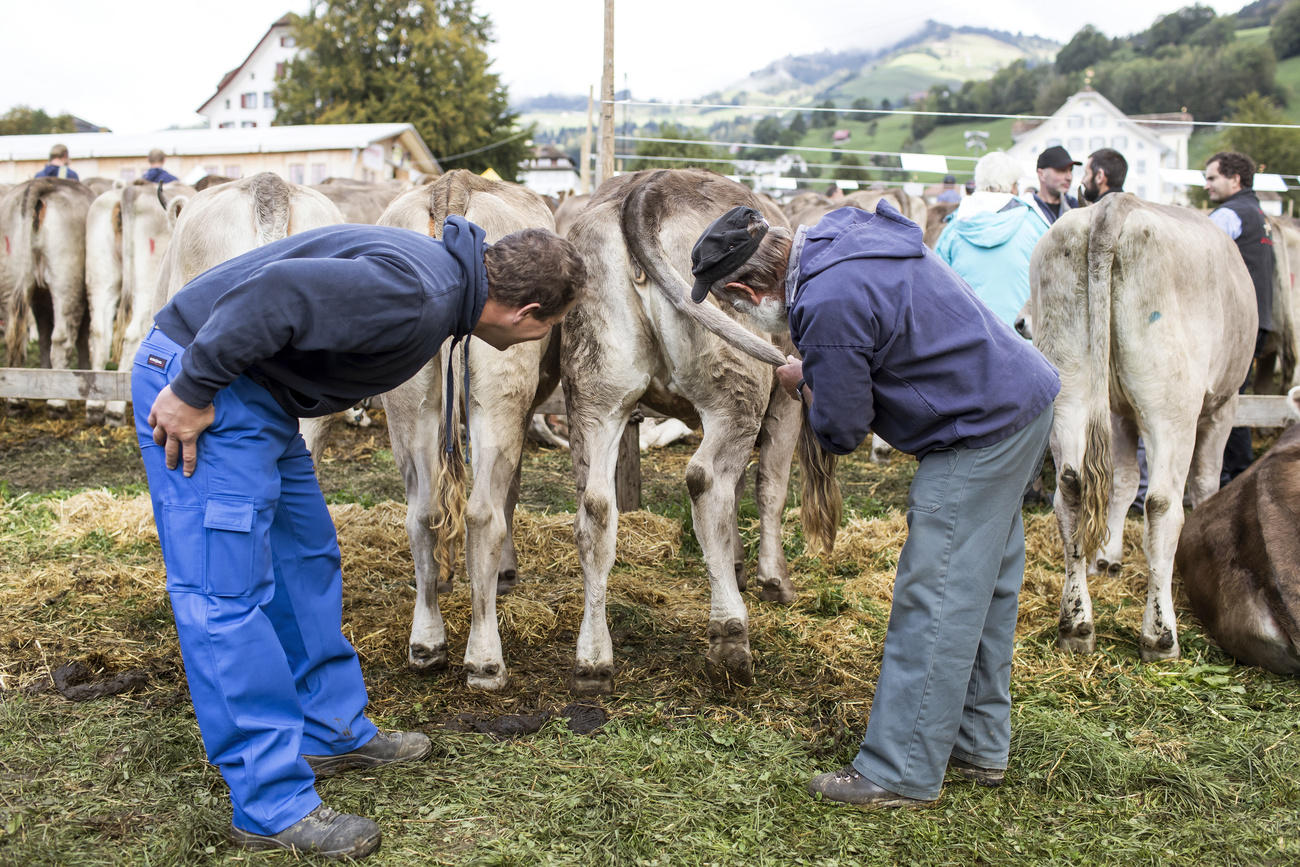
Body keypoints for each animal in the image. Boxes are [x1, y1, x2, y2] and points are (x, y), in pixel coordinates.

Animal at [0, 176, 94, 413]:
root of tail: (38, 184)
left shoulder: (40, 299)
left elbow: (43, 335)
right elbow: (81, 338)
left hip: (12, 281)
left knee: (16, 337)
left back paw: (17, 401)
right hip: (67, 283)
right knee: (61, 339)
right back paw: (58, 403)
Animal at [374, 168, 561, 686]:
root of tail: (452, 187)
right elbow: (510, 492)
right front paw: (505, 574)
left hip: (409, 398)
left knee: (422, 511)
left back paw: (426, 643)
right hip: (499, 387)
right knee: (482, 514)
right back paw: (484, 659)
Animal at [564, 168, 837, 696]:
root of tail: (647, 187)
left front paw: (734, 564)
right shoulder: (786, 401)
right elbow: (770, 488)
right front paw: (774, 579)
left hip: (595, 396)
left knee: (596, 507)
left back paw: (593, 659)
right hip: (736, 394)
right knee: (707, 481)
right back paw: (730, 638)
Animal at [1024, 193, 1258, 660]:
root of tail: (1115, 206)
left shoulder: (1117, 412)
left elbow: (1122, 480)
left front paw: (1107, 557)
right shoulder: (1224, 404)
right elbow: (1205, 483)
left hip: (1068, 385)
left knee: (1072, 489)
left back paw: (1076, 624)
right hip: (1171, 404)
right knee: (1163, 504)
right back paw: (1160, 634)